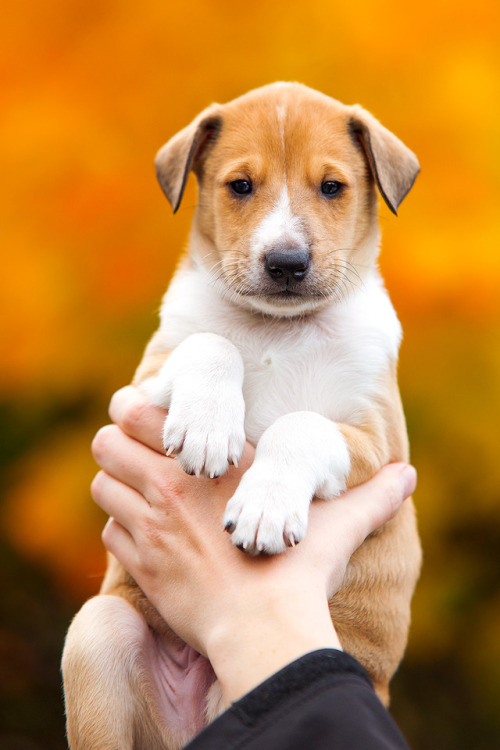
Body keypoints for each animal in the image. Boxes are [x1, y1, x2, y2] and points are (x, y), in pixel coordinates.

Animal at [62, 83, 422, 750]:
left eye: (331, 187)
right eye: (240, 186)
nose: (286, 262)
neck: (277, 326)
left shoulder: (379, 439)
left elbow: (299, 425)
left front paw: (264, 508)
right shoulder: (145, 382)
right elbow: (210, 343)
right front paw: (207, 428)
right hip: (99, 628)